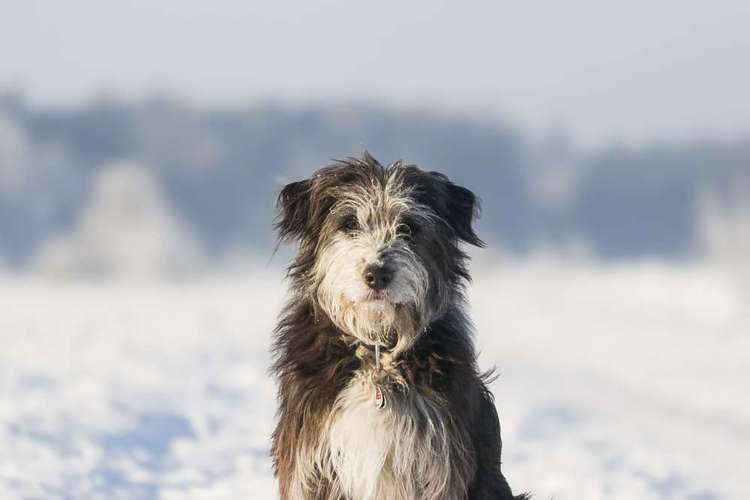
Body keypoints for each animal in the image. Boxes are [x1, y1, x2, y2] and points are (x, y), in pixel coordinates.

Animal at [272, 153, 528, 500]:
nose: (377, 274)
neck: (378, 349)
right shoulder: (313, 461)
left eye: (408, 227)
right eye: (349, 223)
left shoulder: (439, 462)